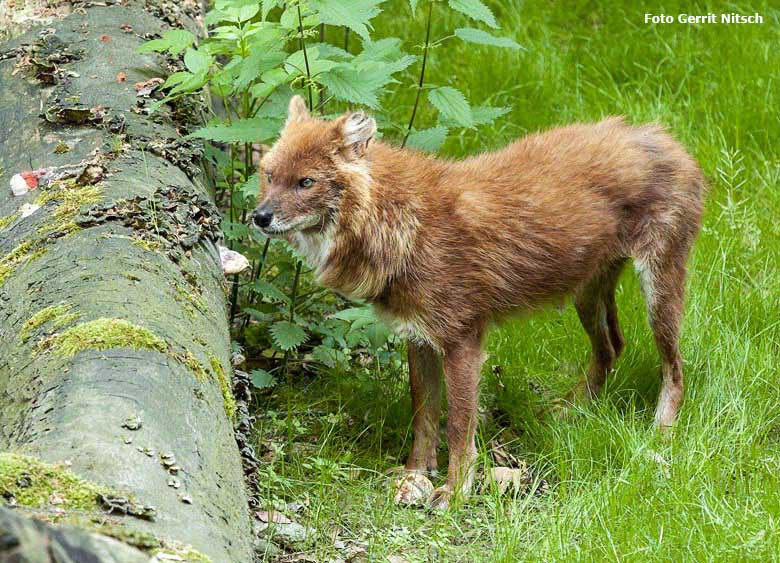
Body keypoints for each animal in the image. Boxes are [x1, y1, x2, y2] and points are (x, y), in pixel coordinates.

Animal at [254, 97, 708, 512]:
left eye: (306, 182)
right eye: (269, 175)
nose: (259, 216)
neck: (401, 222)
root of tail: (667, 138)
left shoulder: (462, 340)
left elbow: (458, 425)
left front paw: (454, 492)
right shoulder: (417, 337)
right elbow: (423, 416)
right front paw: (414, 476)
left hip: (659, 287)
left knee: (674, 366)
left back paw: (660, 433)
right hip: (586, 289)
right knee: (612, 346)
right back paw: (568, 412)